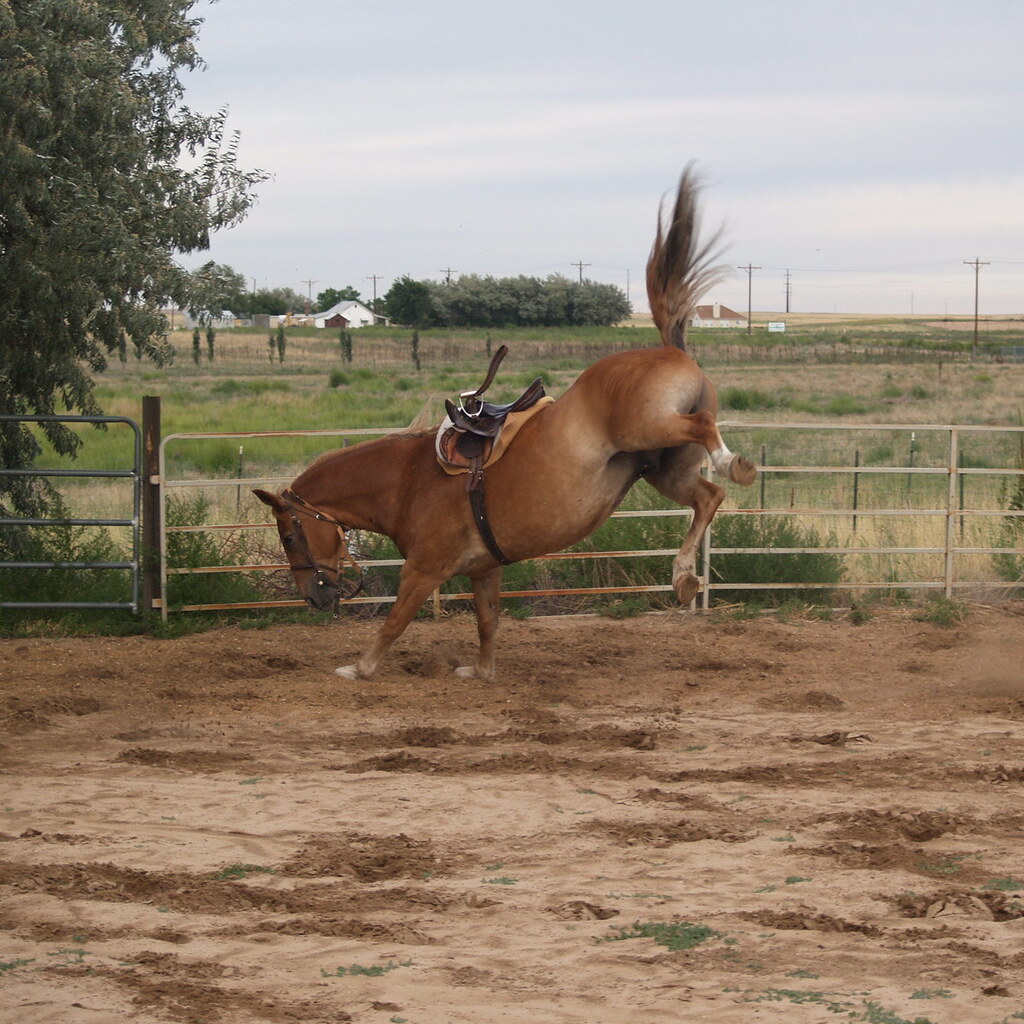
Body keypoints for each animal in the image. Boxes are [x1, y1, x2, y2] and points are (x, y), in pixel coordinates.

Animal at [255, 166, 756, 681]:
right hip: (664, 470)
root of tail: (668, 349)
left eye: (289, 535)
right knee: (708, 497)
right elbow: (487, 621)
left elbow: (394, 622)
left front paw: (360, 668)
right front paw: (480, 672)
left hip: (649, 429)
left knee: (704, 428)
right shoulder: (484, 569)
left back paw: (732, 465)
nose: (313, 598)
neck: (406, 480)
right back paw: (684, 575)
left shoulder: (423, 569)